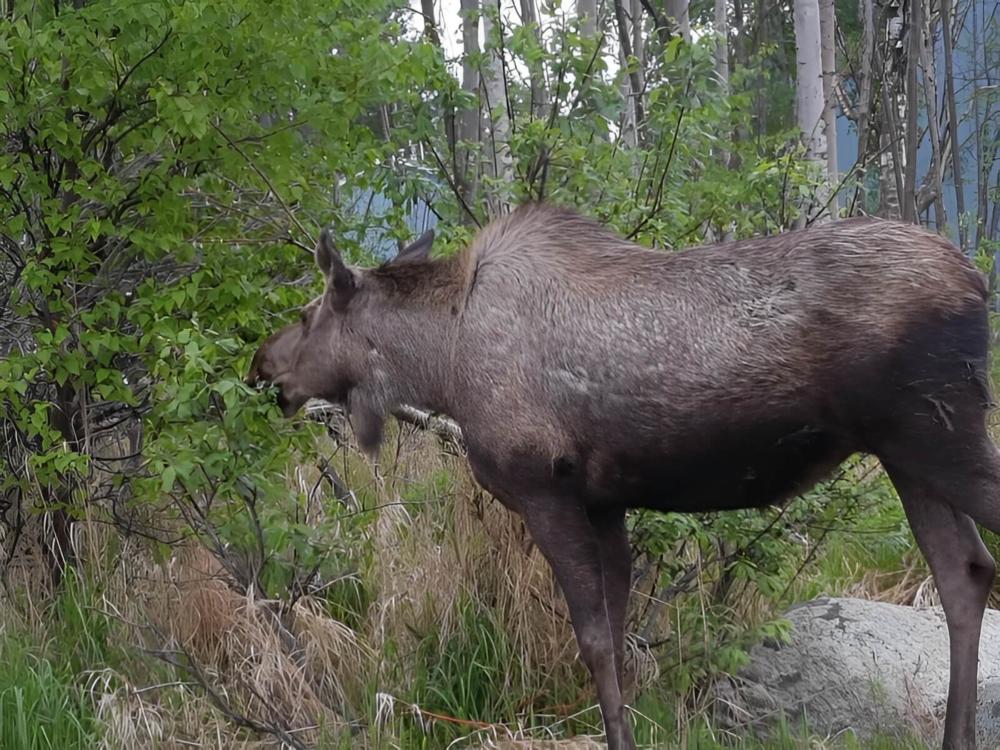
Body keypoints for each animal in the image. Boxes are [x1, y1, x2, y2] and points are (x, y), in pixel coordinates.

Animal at [248, 203, 998, 749]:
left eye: (308, 313)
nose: (261, 364)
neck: (441, 365)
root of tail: (977, 283)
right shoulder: (605, 502)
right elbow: (622, 639)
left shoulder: (544, 488)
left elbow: (596, 641)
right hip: (910, 453)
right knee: (963, 571)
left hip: (935, 432)